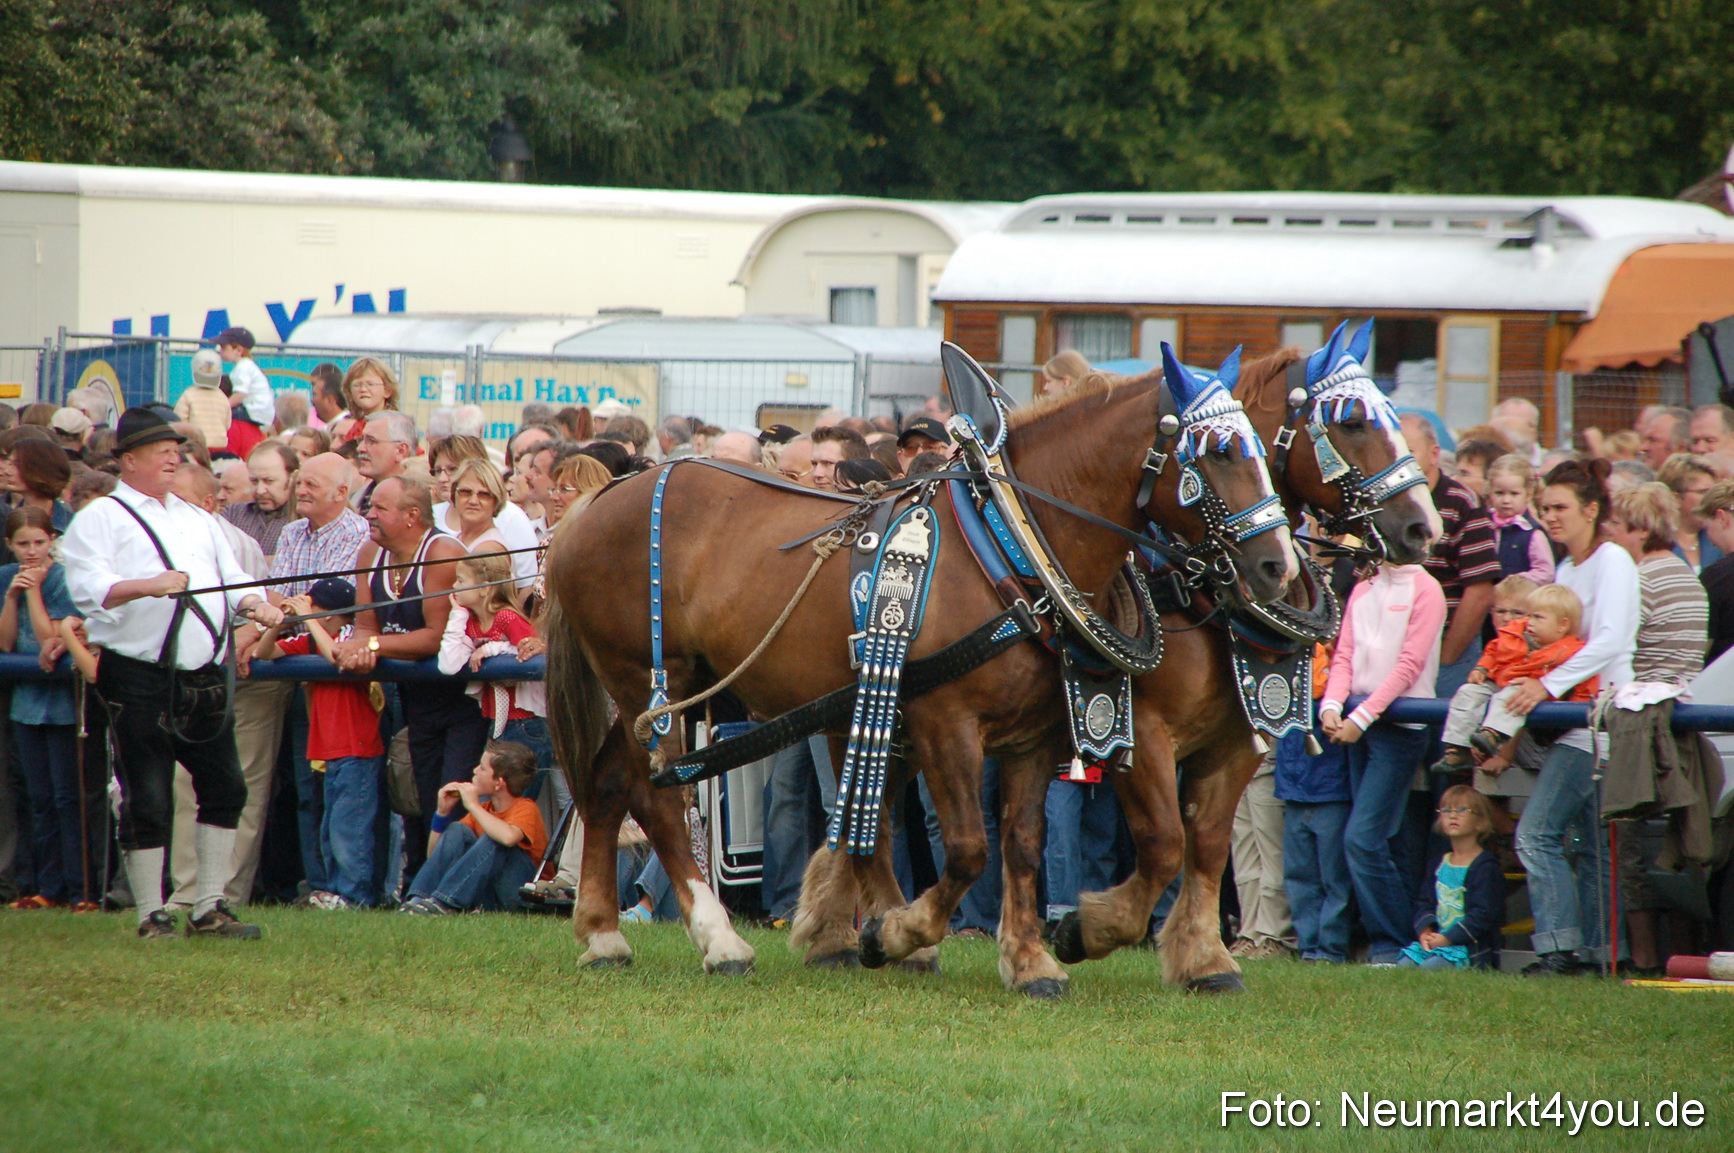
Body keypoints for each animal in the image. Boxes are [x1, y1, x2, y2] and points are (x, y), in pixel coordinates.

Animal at [542, 350, 1298, 995]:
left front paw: (1030, 959)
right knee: (657, 799)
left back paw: (603, 935)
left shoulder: (1033, 737)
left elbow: (1022, 846)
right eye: (1219, 451)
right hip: (647, 680)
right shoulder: (945, 721)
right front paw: (897, 934)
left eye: (1263, 452)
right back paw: (719, 939)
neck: (1009, 541)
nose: (1278, 565)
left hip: (673, 686)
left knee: (606, 784)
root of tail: (601, 499)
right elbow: (966, 849)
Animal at [1044, 320, 1446, 990]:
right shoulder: (1141, 730)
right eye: (1352, 423)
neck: (1197, 587)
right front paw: (1087, 928)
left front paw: (1204, 957)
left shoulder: (1234, 736)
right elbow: (1164, 843)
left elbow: (1206, 843)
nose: (1424, 528)